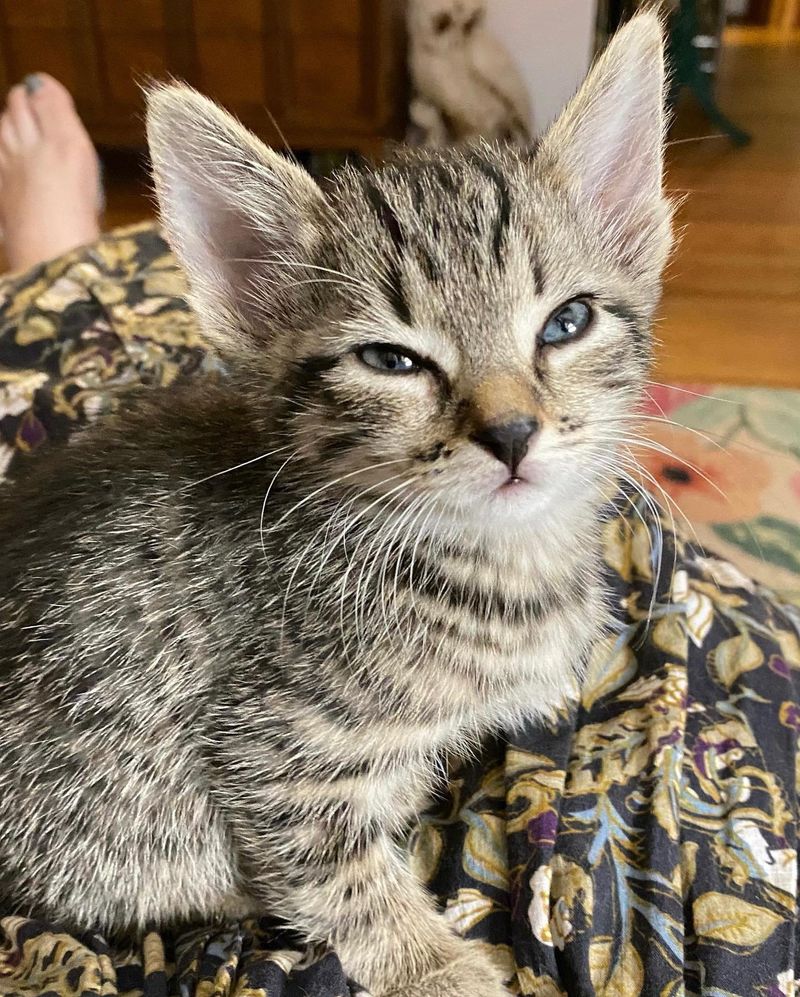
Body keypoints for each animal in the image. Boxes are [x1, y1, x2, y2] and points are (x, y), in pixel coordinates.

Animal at [0, 15, 676, 996]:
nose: (513, 431)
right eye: (392, 361)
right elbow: (342, 875)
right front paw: (438, 965)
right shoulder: (274, 754)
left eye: (567, 322)